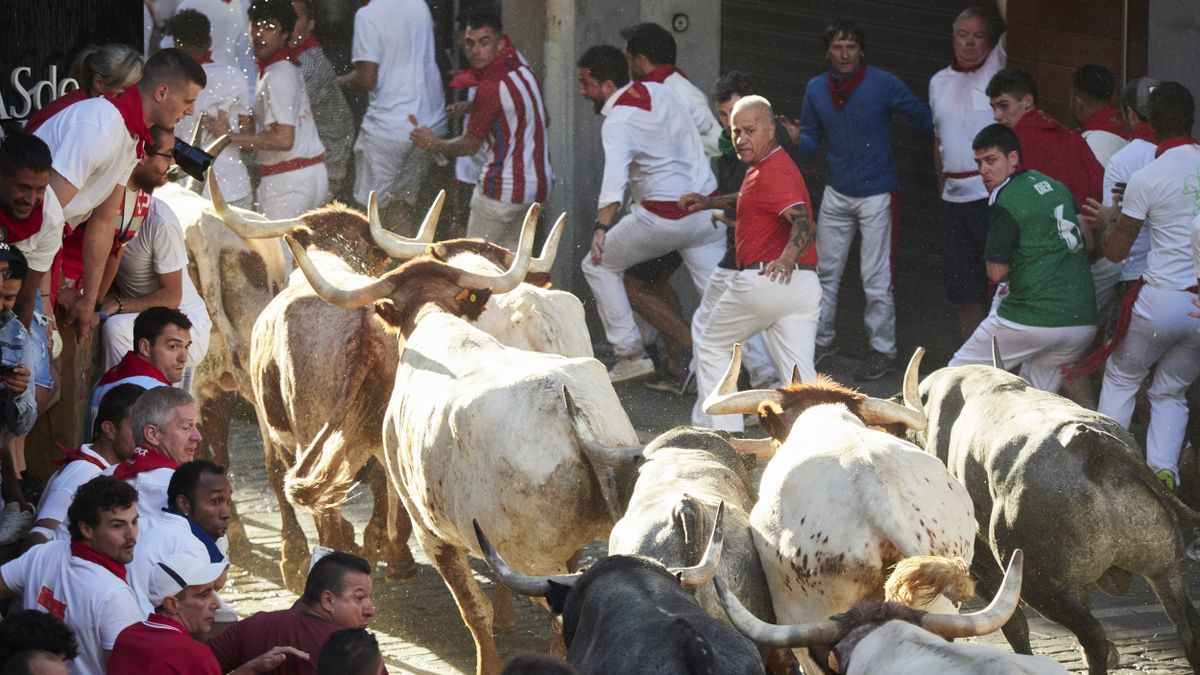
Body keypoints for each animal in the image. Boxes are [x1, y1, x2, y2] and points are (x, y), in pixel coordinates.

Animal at [912, 355, 1200, 667]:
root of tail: (1089, 444)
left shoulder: (981, 564)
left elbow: (1013, 622)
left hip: (1040, 585)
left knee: (1091, 634)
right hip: (1165, 568)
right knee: (1189, 628)